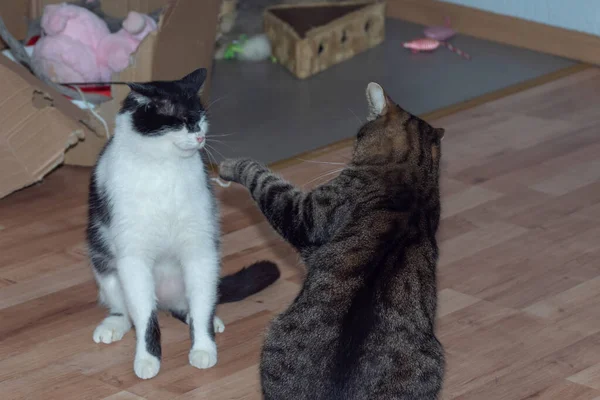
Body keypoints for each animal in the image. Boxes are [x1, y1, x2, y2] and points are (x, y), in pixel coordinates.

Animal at [86, 69, 278, 382]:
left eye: (201, 119)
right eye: (184, 122)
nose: (200, 136)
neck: (164, 168)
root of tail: (164, 298)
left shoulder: (200, 248)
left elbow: (201, 304)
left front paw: (203, 346)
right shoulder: (133, 257)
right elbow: (144, 315)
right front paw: (148, 358)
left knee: (192, 302)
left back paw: (209, 319)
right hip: (104, 265)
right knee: (126, 308)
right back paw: (113, 325)